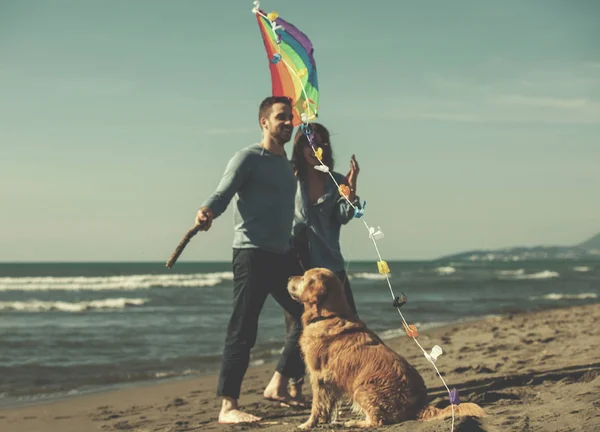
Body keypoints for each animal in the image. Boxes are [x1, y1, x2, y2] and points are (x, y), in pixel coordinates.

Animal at [288, 266, 488, 428]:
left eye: (304, 277)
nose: (289, 277)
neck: (329, 315)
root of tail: (420, 404)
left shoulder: (318, 375)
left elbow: (316, 405)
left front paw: (308, 424)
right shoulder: (331, 381)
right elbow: (327, 405)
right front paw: (324, 420)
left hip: (362, 389)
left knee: (378, 421)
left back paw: (354, 422)